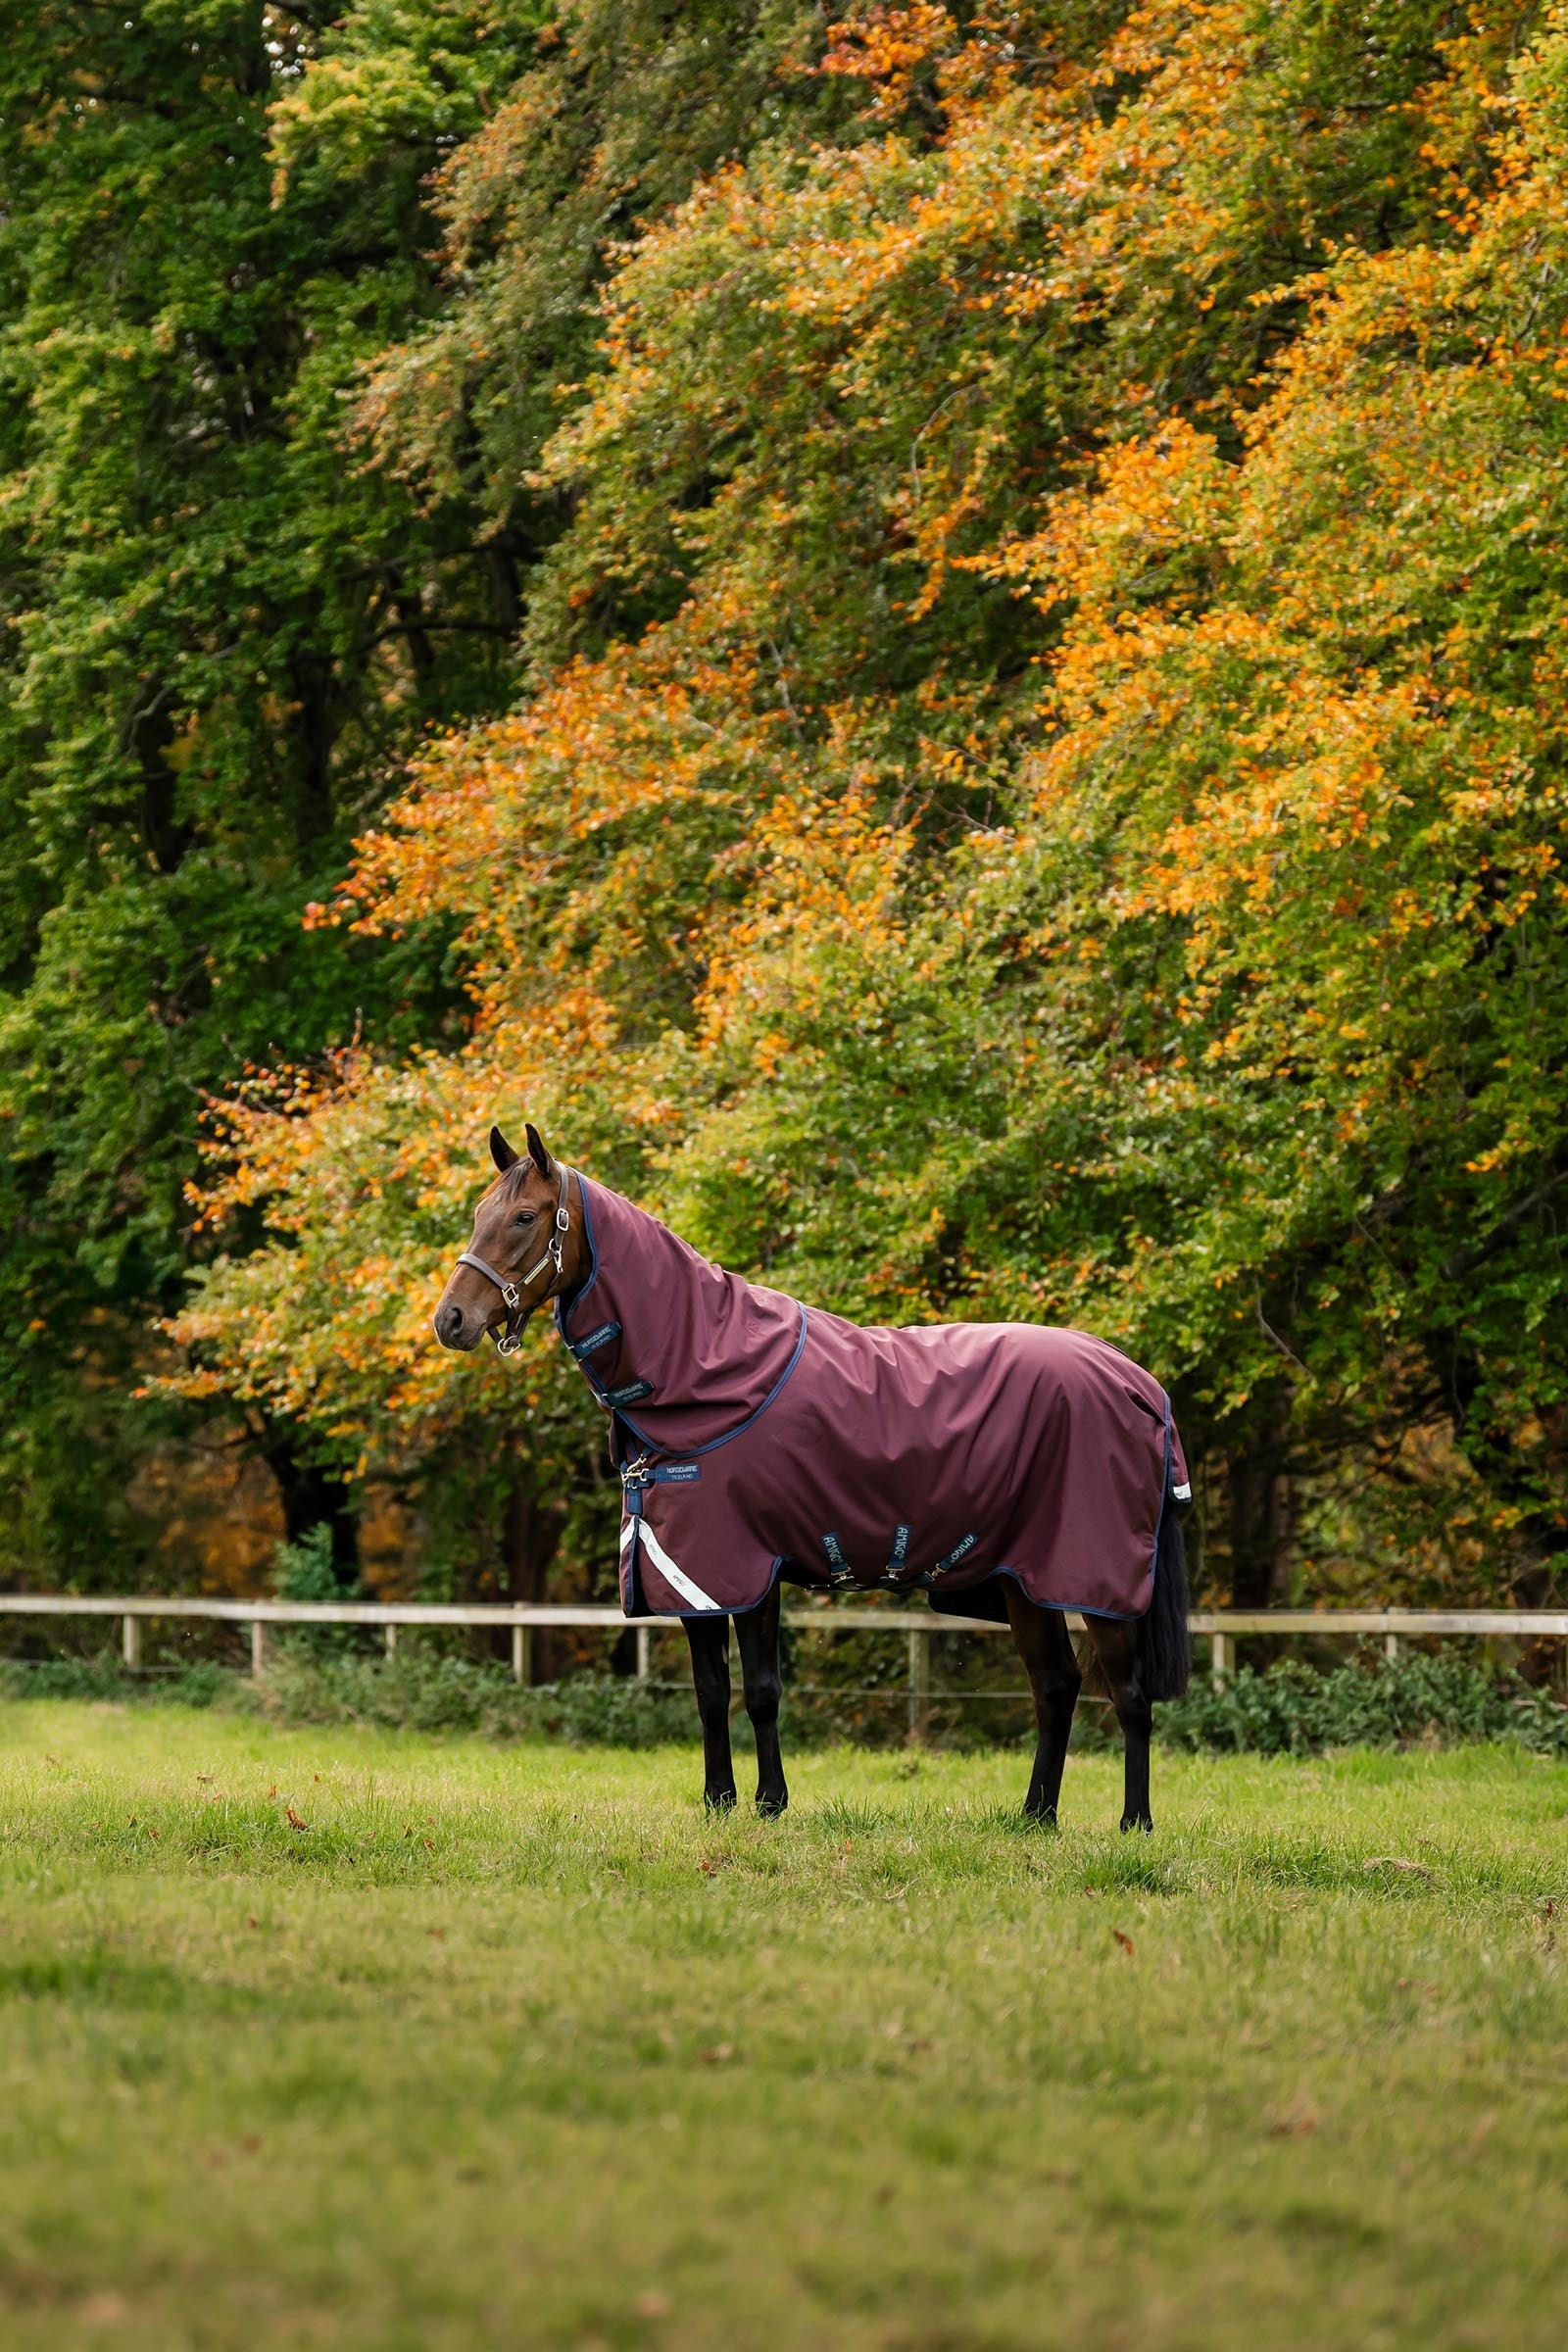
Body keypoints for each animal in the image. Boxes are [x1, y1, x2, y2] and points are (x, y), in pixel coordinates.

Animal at [434, 1124, 1192, 1830]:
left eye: (523, 1217)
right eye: (478, 1213)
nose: (451, 1320)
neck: (706, 1366)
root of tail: (1139, 1383)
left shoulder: (746, 1567)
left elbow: (762, 1689)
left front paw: (769, 1802)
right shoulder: (688, 1572)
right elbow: (711, 1691)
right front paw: (718, 1801)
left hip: (1096, 1581)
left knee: (1128, 1696)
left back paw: (1135, 1823)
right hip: (1025, 1582)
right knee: (1056, 1686)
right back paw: (1036, 1817)